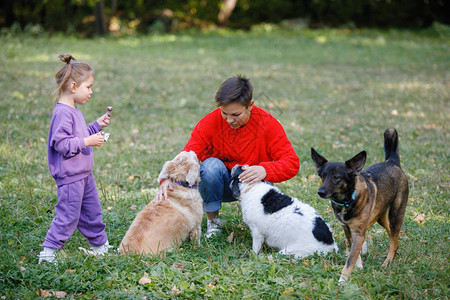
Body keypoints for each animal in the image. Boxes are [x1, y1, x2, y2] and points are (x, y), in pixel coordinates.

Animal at [312, 127, 410, 282]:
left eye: (336, 177)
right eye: (322, 176)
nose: (320, 192)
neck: (347, 200)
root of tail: (392, 162)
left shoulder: (358, 234)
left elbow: (350, 259)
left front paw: (342, 281)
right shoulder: (348, 230)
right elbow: (354, 254)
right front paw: (358, 268)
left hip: (395, 214)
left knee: (394, 238)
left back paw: (387, 262)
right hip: (381, 217)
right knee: (393, 237)